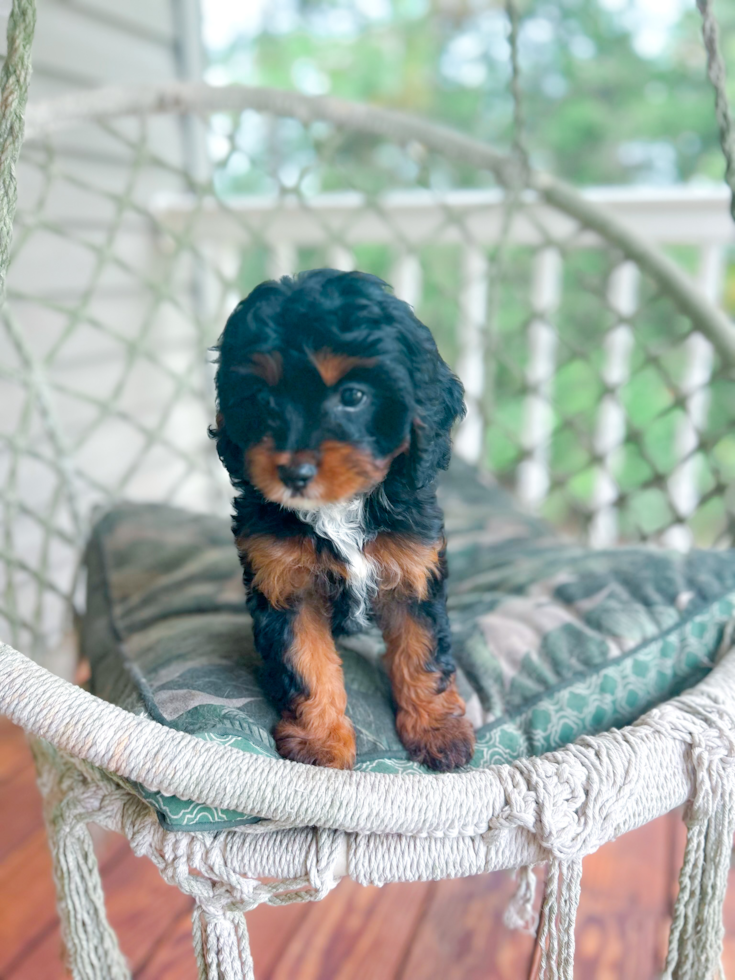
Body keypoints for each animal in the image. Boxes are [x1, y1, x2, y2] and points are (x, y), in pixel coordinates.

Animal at [213, 268, 478, 772]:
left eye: (353, 396)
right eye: (263, 398)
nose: (293, 473)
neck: (339, 507)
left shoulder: (414, 572)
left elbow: (422, 652)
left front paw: (438, 729)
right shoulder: (286, 586)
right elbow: (305, 663)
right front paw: (320, 743)